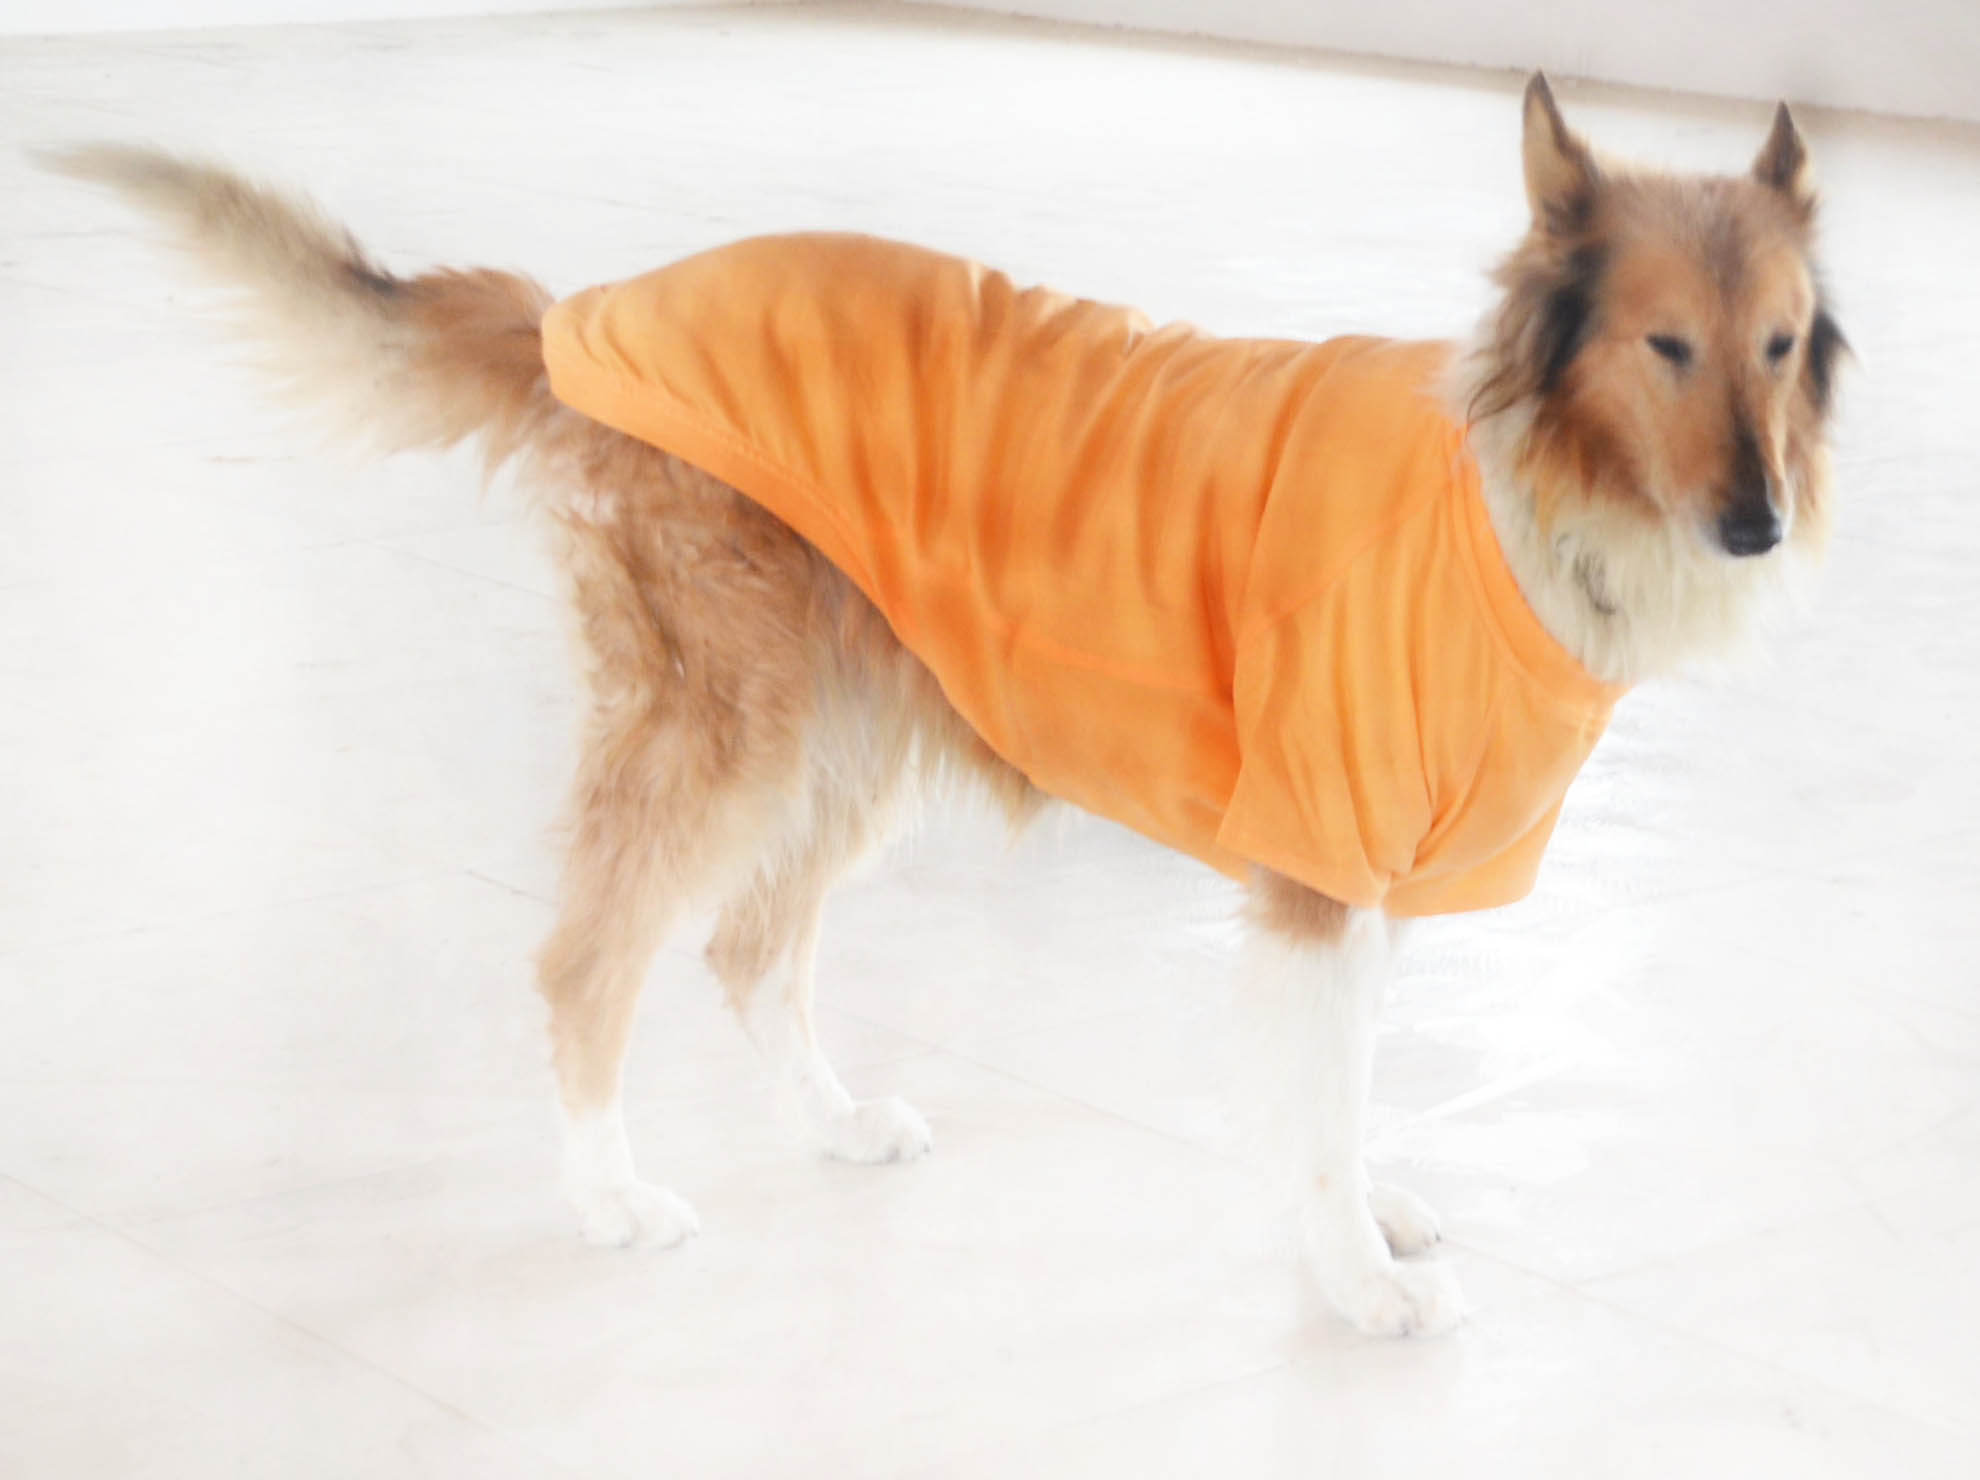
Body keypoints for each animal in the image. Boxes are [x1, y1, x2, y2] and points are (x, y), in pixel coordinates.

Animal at [45, 73, 1842, 1338]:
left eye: (1777, 345)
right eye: (1664, 346)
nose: (1760, 525)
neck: (1519, 483)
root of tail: (583, 320)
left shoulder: (1366, 871)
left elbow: (1345, 1086)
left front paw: (1365, 1226)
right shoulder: (1319, 865)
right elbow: (1325, 1107)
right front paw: (1359, 1281)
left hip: (843, 737)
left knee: (747, 951)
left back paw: (832, 1128)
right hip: (726, 730)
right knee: (587, 964)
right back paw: (612, 1198)